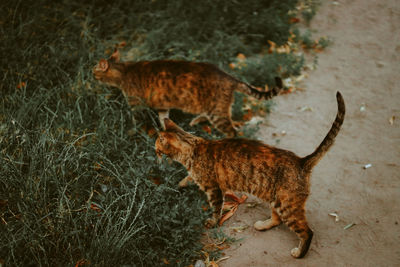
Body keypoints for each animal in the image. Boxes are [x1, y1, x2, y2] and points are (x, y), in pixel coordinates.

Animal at [92, 49, 282, 138]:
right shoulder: (162, 106)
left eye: (94, 70)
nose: (91, 74)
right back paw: (195, 121)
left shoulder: (136, 106)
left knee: (232, 132)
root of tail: (229, 77)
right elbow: (164, 120)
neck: (124, 71)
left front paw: (131, 133)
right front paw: (167, 133)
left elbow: (135, 122)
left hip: (217, 113)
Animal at [155, 92, 346, 260]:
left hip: (287, 206)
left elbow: (216, 208)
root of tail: (301, 161)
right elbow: (186, 179)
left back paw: (299, 253)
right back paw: (262, 225)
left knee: (307, 231)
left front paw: (212, 222)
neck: (194, 148)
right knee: (277, 219)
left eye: (157, 149)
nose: (155, 154)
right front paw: (176, 186)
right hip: (276, 200)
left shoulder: (214, 189)